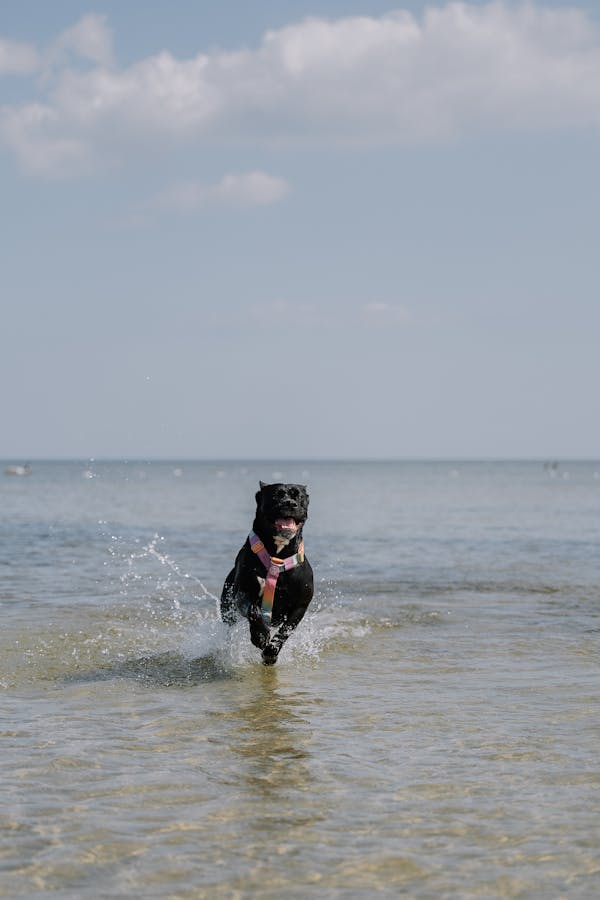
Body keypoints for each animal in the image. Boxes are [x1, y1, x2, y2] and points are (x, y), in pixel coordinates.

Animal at [219, 482, 314, 664]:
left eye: (298, 496)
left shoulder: (300, 605)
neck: (278, 557)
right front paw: (260, 635)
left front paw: (271, 651)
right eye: (276, 495)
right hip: (228, 608)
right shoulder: (243, 593)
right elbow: (253, 611)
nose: (290, 503)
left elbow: (286, 630)